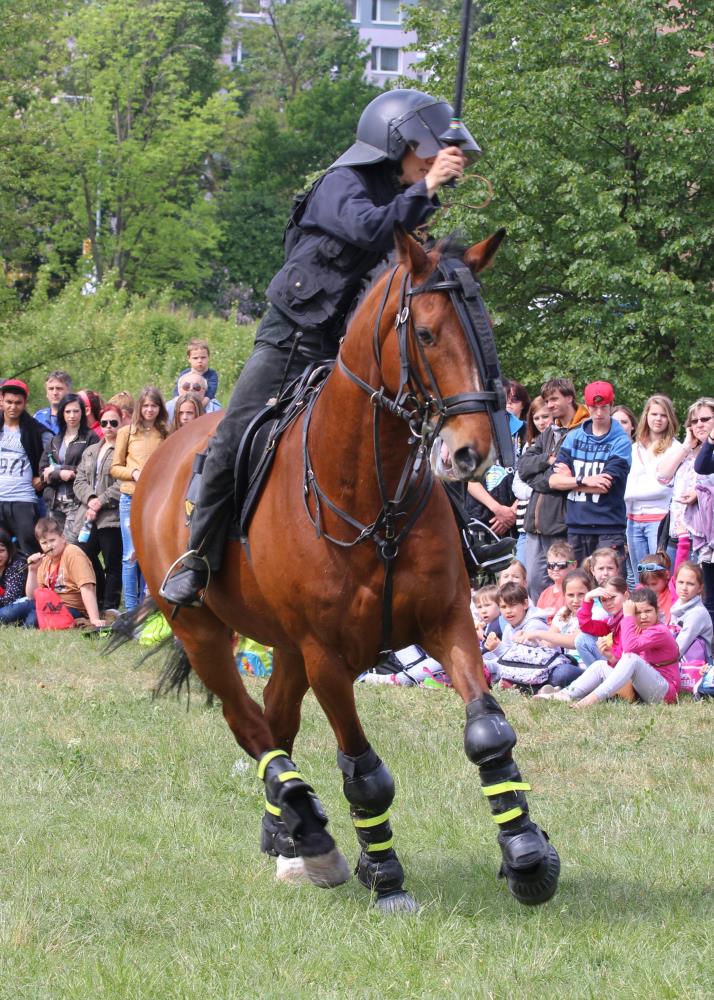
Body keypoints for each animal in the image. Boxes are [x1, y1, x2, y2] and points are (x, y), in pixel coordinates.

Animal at [129, 229, 560, 916]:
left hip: (284, 648)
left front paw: (526, 855)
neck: (368, 496)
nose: (471, 452)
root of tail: (164, 451)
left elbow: (489, 732)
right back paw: (309, 833)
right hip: (203, 634)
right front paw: (385, 877)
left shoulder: (448, 625)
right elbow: (365, 772)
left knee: (275, 719)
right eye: (428, 334)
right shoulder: (328, 658)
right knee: (250, 725)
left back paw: (286, 831)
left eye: (484, 327)